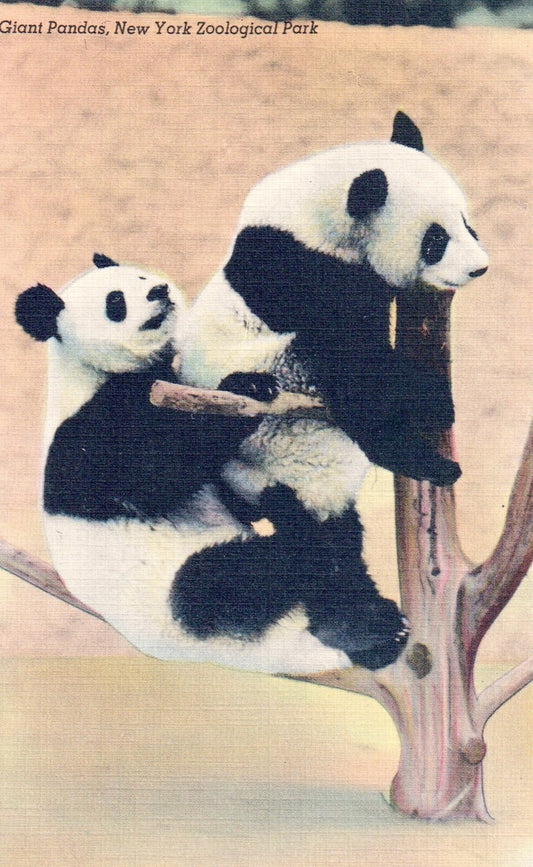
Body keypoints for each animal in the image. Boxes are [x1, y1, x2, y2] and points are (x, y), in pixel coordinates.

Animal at [16, 254, 410, 674]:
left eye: (141, 276)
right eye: (116, 301)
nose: (159, 290)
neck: (93, 371)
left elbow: (231, 492)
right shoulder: (84, 433)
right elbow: (151, 478)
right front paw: (245, 387)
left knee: (339, 551)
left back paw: (374, 626)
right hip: (173, 595)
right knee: (236, 579)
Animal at [180, 111, 489, 644]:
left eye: (466, 222)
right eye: (435, 240)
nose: (479, 269)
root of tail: (261, 488)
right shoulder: (295, 268)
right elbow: (354, 351)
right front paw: (432, 398)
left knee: (334, 546)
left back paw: (372, 622)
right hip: (268, 396)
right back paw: (419, 460)